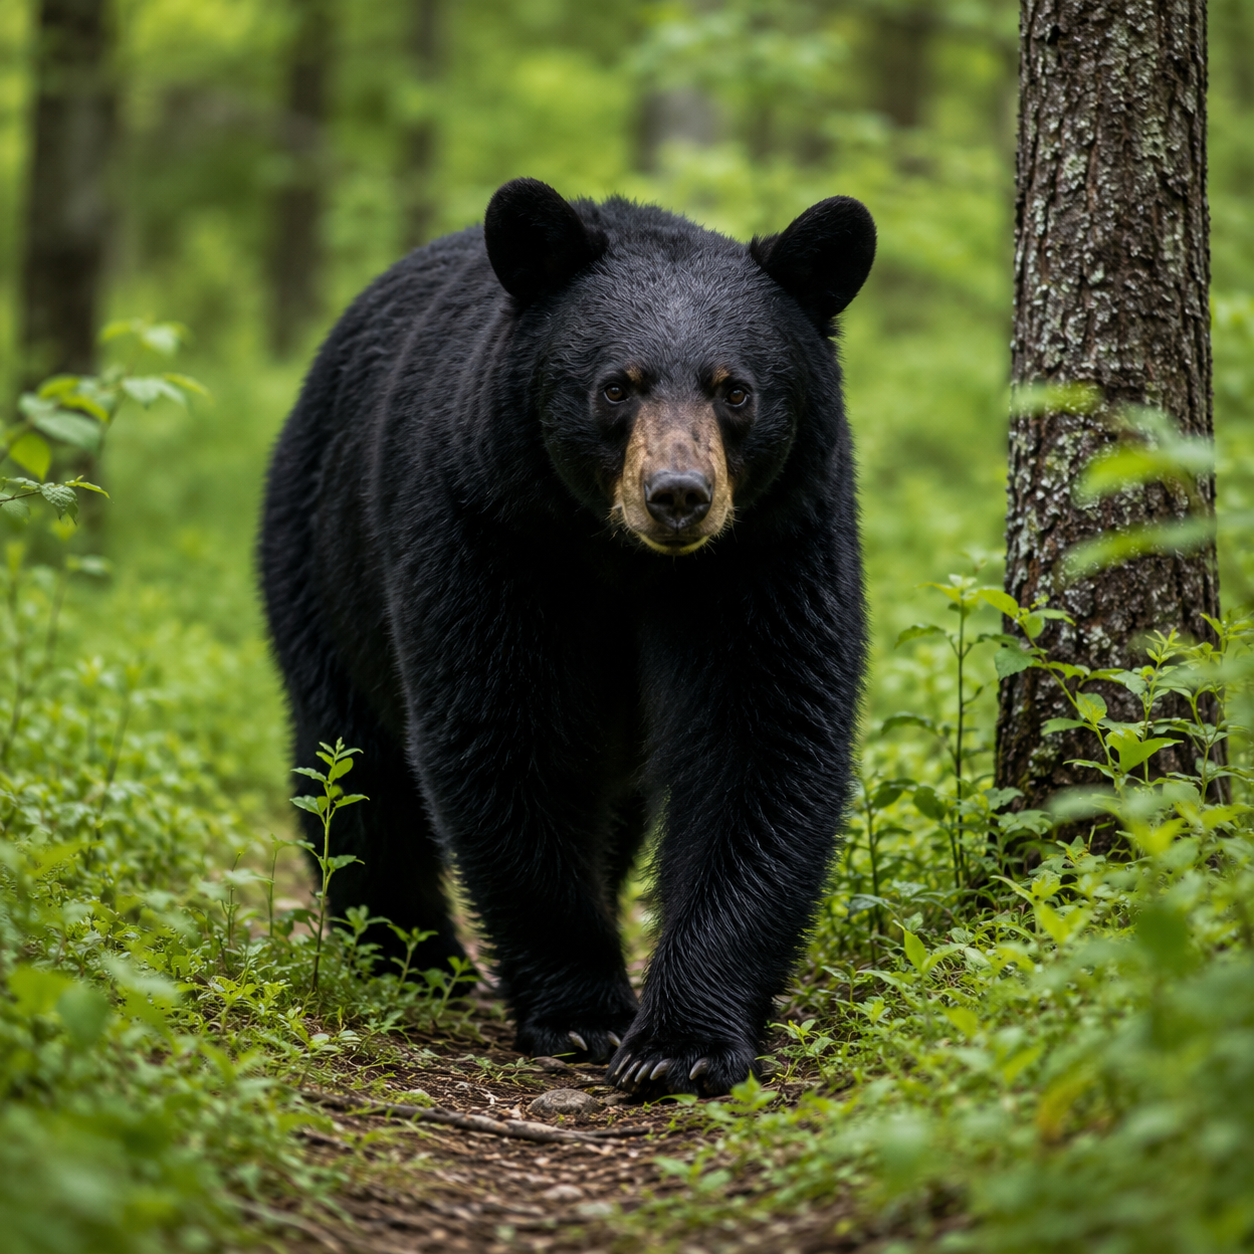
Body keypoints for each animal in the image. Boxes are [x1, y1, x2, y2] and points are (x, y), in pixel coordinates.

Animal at [260, 178, 874, 1099]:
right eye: (617, 386)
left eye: (735, 390)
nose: (678, 495)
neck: (625, 562)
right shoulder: (491, 528)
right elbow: (505, 731)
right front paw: (585, 1011)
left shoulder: (772, 549)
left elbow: (761, 739)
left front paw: (684, 1040)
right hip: (320, 560)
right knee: (353, 768)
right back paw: (416, 956)